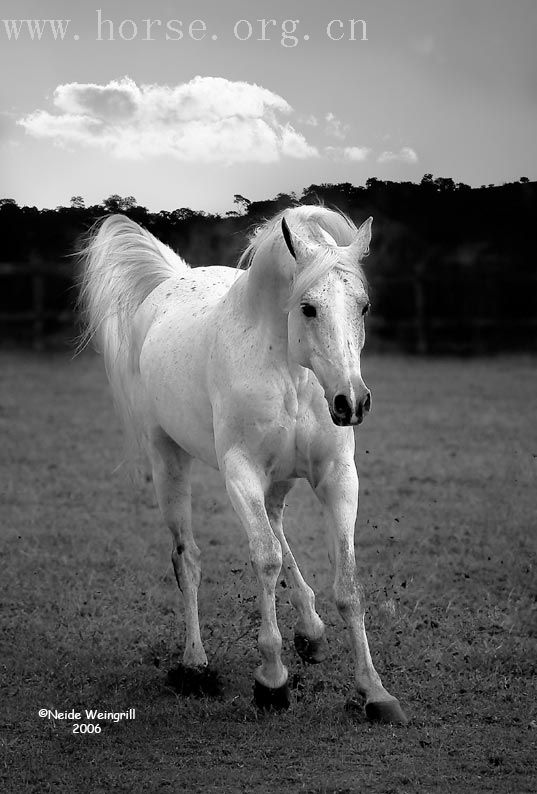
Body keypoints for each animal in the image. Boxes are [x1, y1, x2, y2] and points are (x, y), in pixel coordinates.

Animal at [79, 206, 406, 724]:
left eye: (364, 306)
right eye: (308, 307)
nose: (351, 402)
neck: (290, 372)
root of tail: (172, 279)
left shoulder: (338, 476)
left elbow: (347, 582)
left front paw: (375, 692)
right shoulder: (241, 473)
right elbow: (265, 558)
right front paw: (271, 681)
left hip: (280, 480)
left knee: (276, 527)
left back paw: (310, 630)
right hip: (168, 461)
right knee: (188, 558)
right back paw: (195, 665)